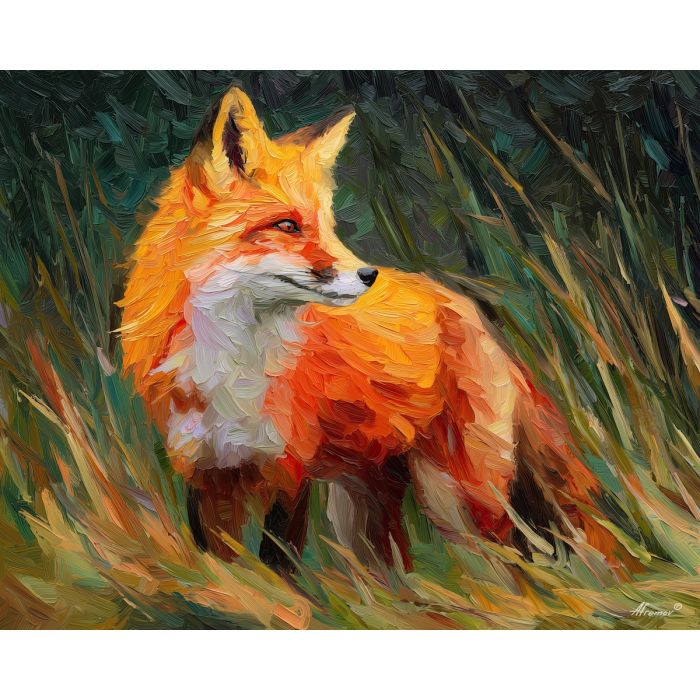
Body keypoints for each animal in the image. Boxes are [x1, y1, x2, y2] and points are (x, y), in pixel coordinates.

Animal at [120, 86, 628, 571]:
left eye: (328, 226)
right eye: (287, 226)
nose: (368, 275)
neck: (232, 363)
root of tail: (471, 312)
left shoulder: (289, 473)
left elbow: (279, 564)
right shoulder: (206, 475)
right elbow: (221, 568)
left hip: (462, 499)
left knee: (516, 566)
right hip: (364, 514)